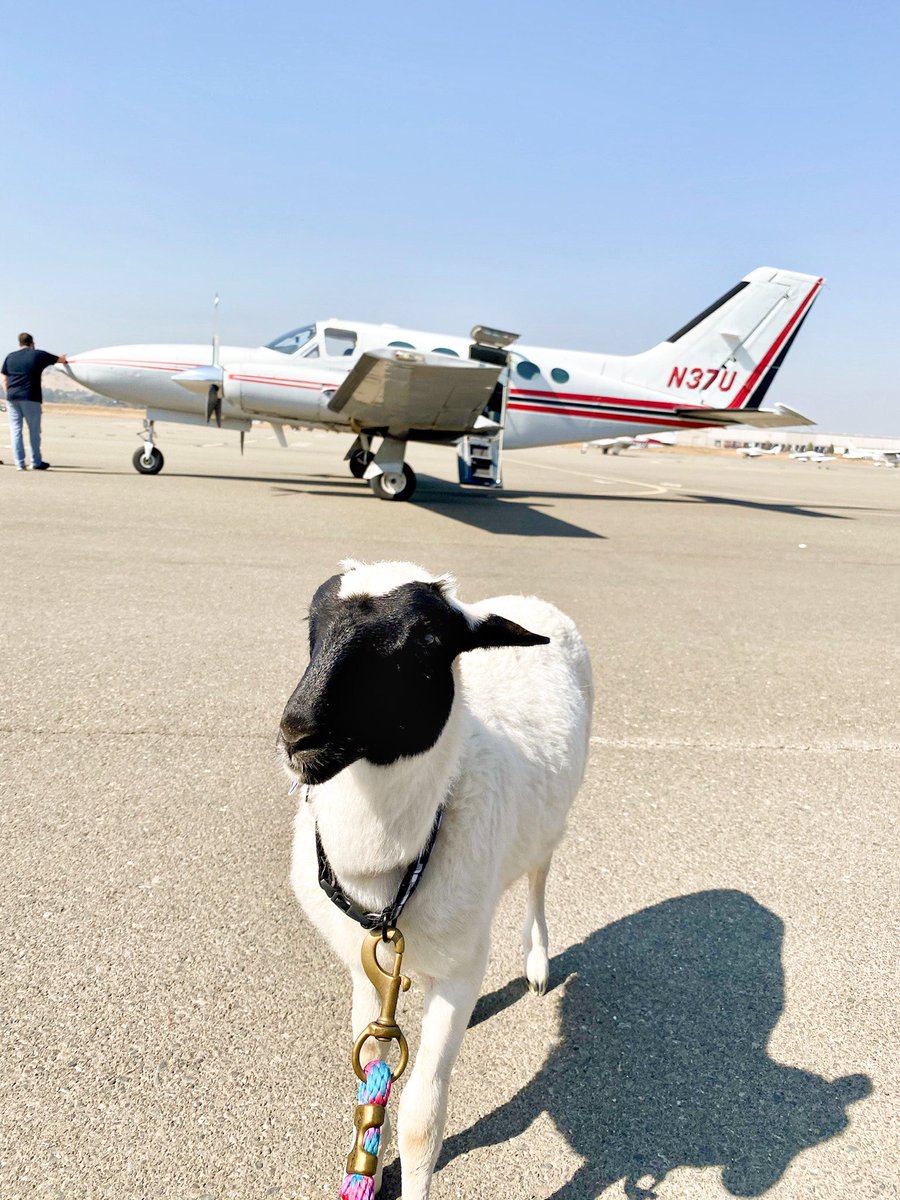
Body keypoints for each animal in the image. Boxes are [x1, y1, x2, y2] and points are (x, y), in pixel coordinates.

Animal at [277, 559, 593, 1199]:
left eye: (426, 640)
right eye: (311, 622)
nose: (297, 734)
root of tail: (533, 601)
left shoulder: (460, 970)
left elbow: (422, 1120)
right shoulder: (367, 973)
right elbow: (368, 1083)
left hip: (549, 827)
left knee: (538, 877)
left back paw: (538, 962)